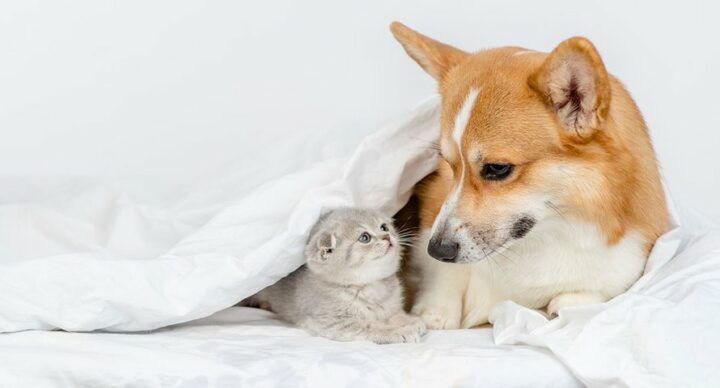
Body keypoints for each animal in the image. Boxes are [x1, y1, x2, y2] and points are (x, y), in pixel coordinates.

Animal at [250, 208, 424, 344]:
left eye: (384, 227)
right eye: (365, 237)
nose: (387, 236)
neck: (371, 287)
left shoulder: (390, 307)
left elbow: (394, 315)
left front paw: (411, 321)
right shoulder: (334, 322)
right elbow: (371, 326)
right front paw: (400, 331)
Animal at [390, 22, 672, 328]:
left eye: (497, 168)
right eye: (448, 164)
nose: (438, 250)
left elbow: (576, 300)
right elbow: (441, 282)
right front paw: (434, 311)